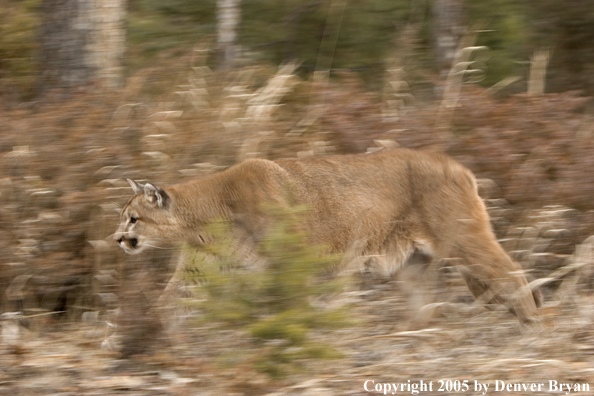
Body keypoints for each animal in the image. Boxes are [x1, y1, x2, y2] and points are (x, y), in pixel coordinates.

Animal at [113, 148, 540, 322]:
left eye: (133, 219)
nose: (116, 239)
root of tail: (458, 166)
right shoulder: (201, 268)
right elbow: (167, 303)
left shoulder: (298, 259)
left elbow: (297, 307)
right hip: (413, 262)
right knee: (424, 304)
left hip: (462, 238)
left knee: (512, 272)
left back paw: (531, 327)